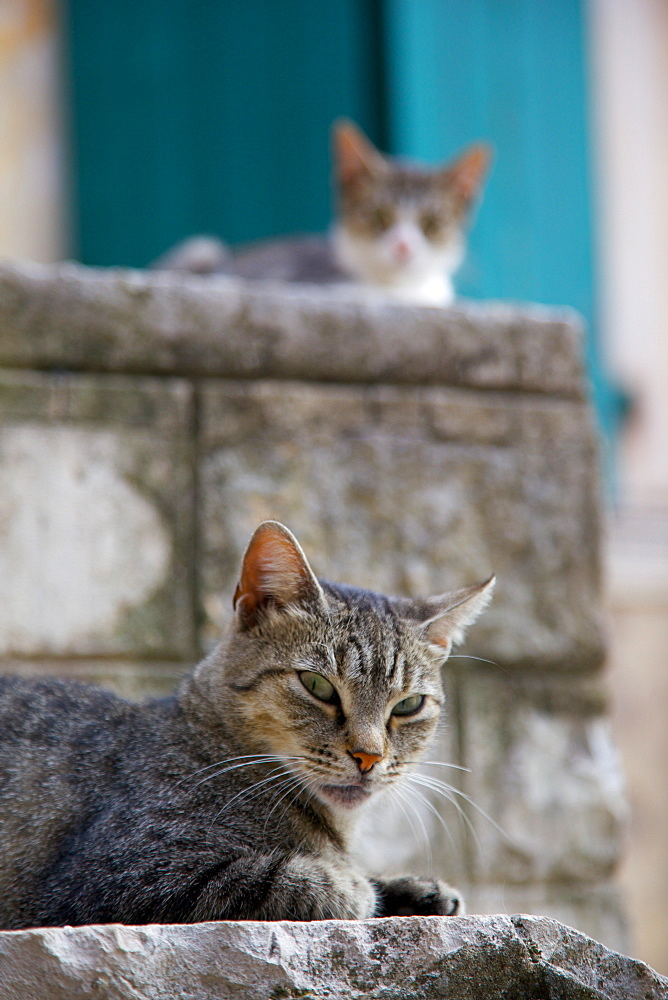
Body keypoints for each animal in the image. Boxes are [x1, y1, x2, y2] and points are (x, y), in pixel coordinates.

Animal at [0, 524, 490, 928]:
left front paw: (415, 890)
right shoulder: (116, 877)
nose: (368, 756)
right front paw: (355, 886)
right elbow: (282, 881)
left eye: (408, 705)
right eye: (318, 686)